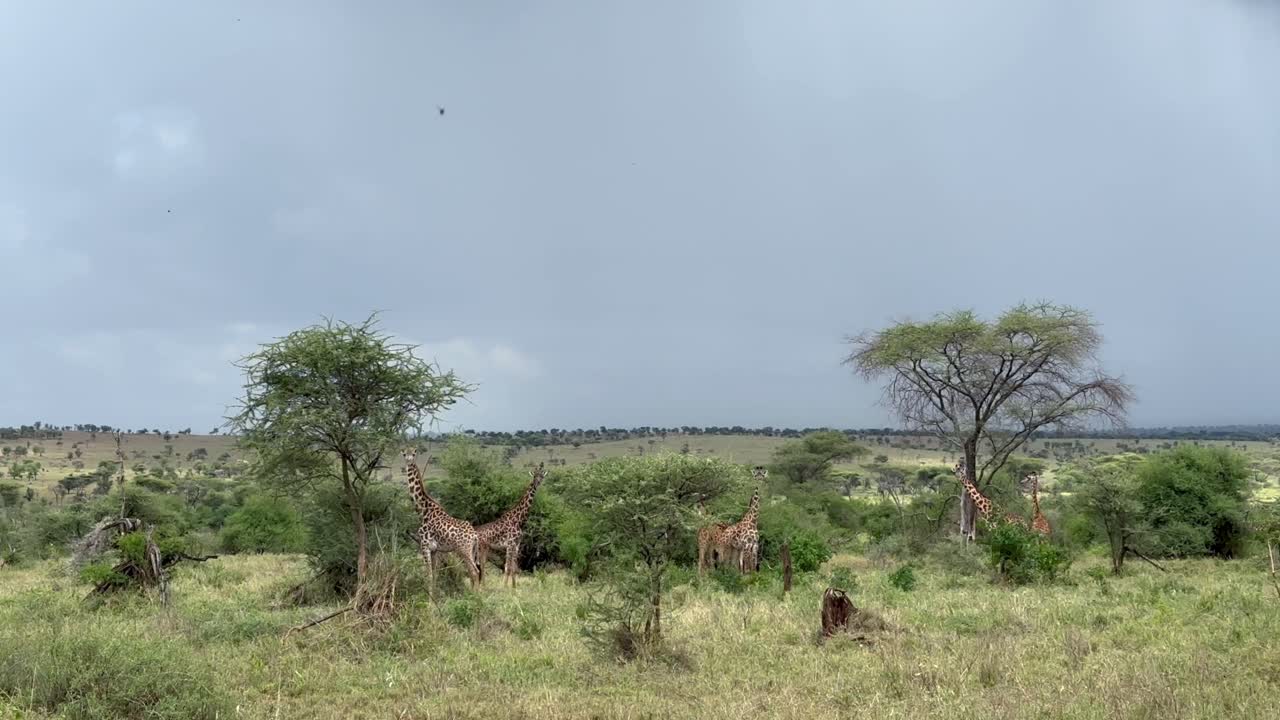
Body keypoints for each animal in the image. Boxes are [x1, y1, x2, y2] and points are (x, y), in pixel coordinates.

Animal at [400, 448, 481, 594]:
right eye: (404, 454)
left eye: (413, 454)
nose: (409, 460)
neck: (423, 510)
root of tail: (475, 536)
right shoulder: (435, 550)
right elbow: (435, 575)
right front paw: (434, 596)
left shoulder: (424, 545)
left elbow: (429, 575)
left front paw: (429, 599)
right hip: (471, 551)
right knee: (474, 573)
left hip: (464, 550)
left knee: (474, 572)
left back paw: (476, 596)